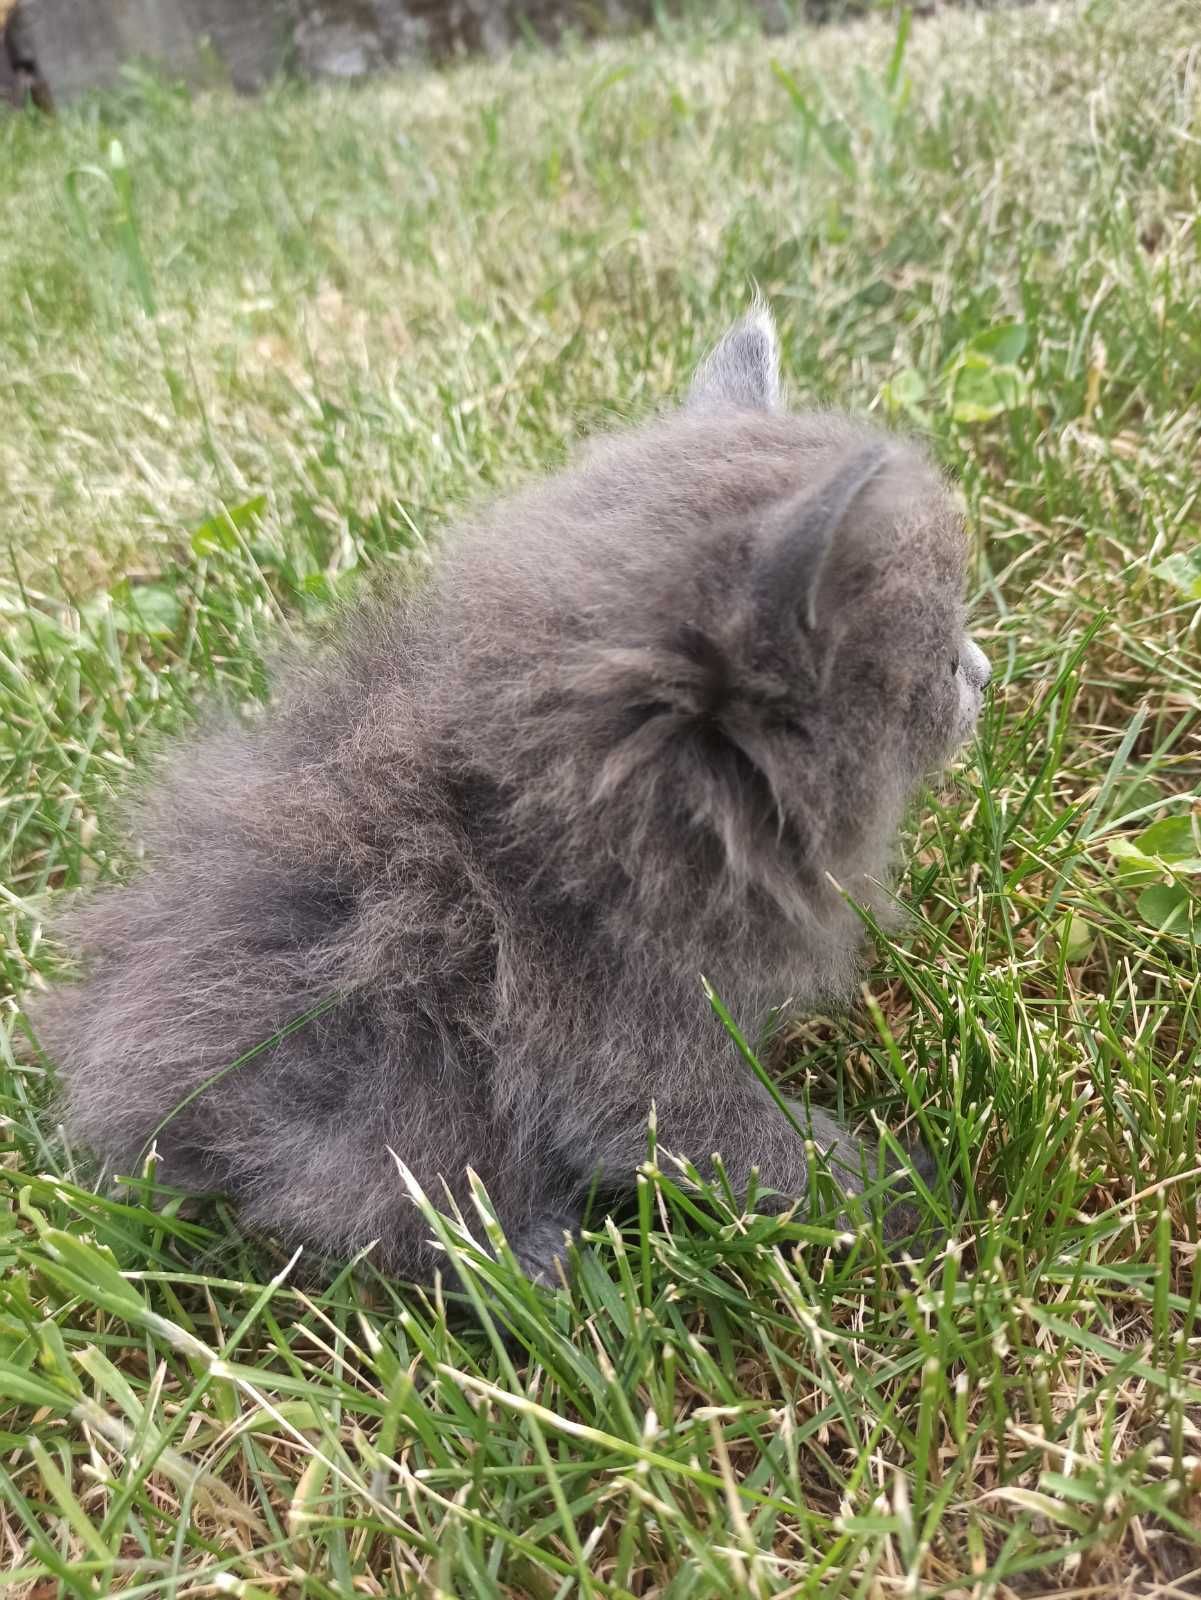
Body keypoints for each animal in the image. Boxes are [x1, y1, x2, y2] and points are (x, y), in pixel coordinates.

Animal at [28, 308, 991, 1286]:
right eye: (940, 662)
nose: (986, 672)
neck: (548, 827)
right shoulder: (617, 1035)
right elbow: (742, 1147)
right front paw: (915, 1204)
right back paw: (540, 1260)